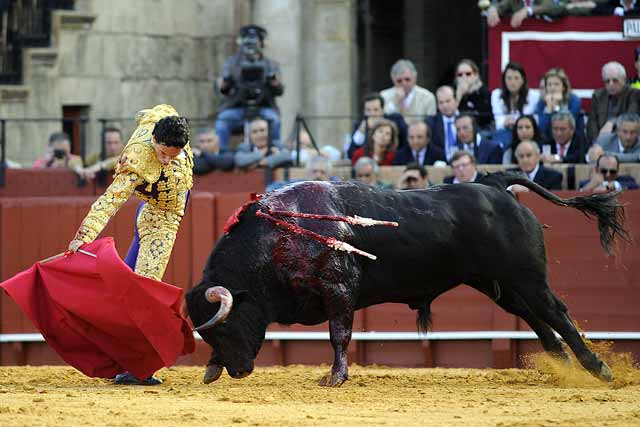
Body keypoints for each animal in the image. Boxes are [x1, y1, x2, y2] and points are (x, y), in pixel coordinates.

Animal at [182, 172, 628, 386]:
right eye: (208, 334)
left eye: (226, 327)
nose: (238, 371)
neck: (276, 237)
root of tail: (493, 185)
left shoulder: (338, 289)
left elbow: (339, 335)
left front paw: (335, 378)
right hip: (498, 284)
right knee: (537, 319)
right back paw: (564, 368)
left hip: (527, 275)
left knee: (557, 313)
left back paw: (598, 370)